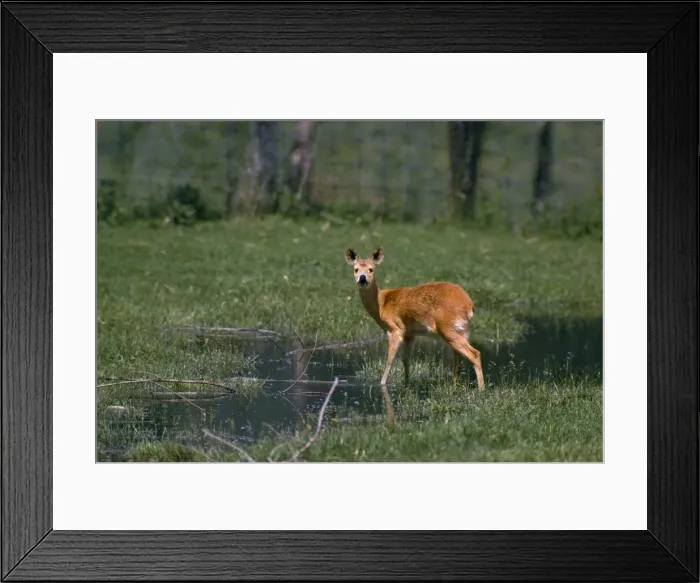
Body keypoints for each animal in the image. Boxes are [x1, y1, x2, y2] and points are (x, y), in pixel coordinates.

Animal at [345, 246, 485, 420]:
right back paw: (455, 386)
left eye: (371, 269)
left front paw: (382, 384)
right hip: (461, 330)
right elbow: (406, 360)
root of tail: (469, 304)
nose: (362, 279)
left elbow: (390, 359)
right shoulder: (410, 333)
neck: (382, 304)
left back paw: (481, 390)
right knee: (458, 360)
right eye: (356, 269)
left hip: (448, 328)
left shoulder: (395, 329)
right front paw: (406, 383)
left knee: (474, 353)